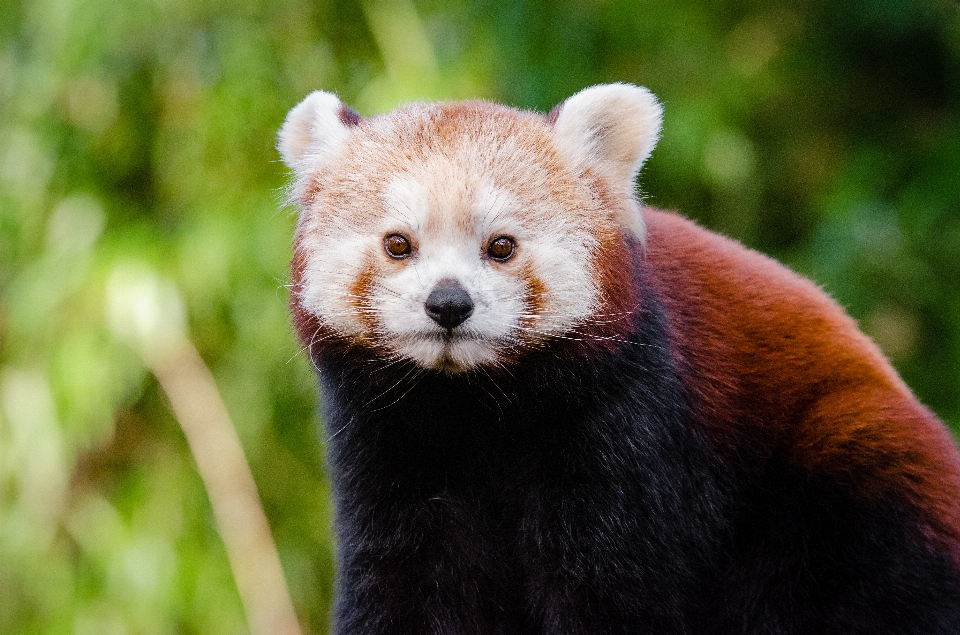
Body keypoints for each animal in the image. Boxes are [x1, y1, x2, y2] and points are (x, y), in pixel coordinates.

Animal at [278, 84, 960, 635]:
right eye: (398, 244)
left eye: (501, 246)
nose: (449, 303)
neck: (476, 404)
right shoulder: (387, 443)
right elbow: (407, 581)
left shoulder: (632, 424)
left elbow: (613, 588)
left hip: (846, 477)